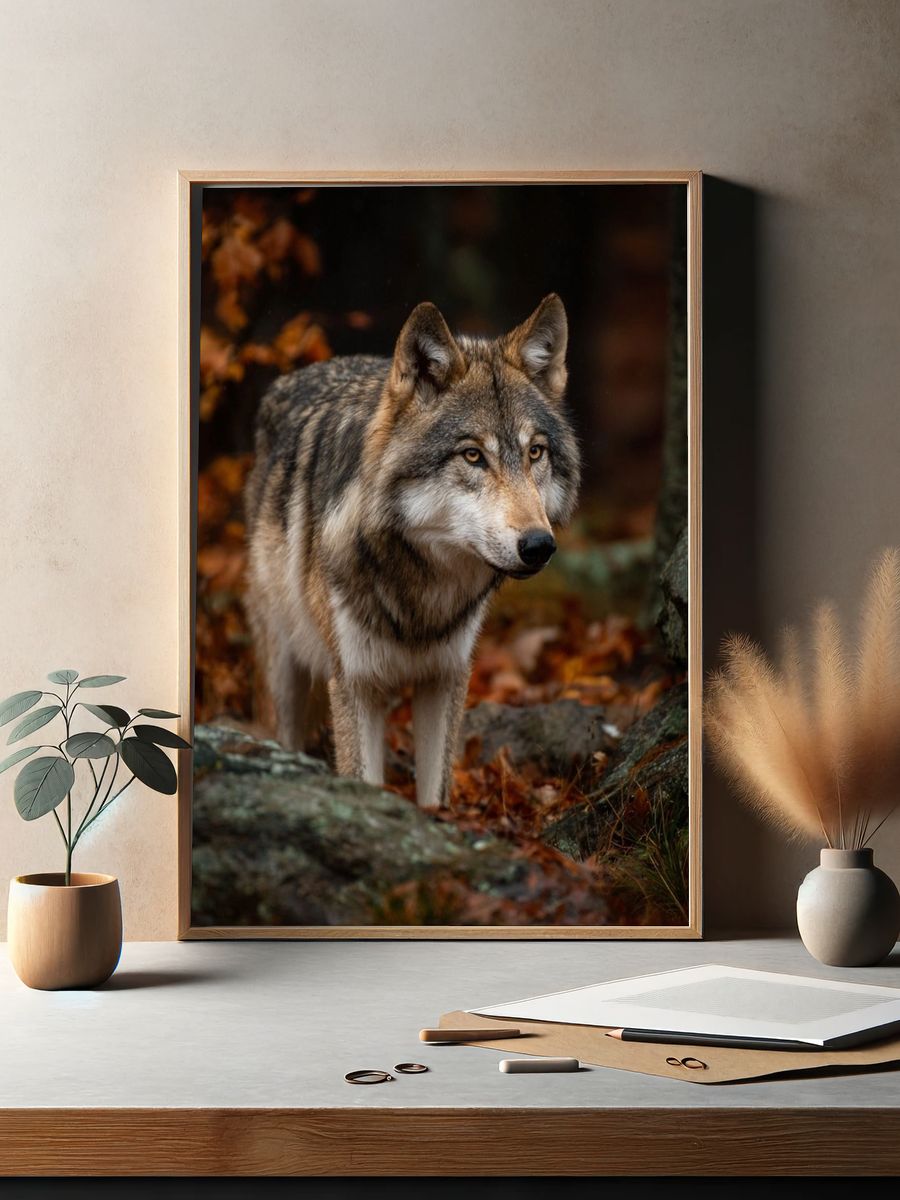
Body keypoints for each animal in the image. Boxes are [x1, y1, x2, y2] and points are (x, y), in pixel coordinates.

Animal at [244, 294, 580, 808]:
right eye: (472, 456)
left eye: (535, 453)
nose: (539, 546)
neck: (422, 591)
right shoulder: (355, 684)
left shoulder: (445, 679)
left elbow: (433, 797)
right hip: (285, 675)